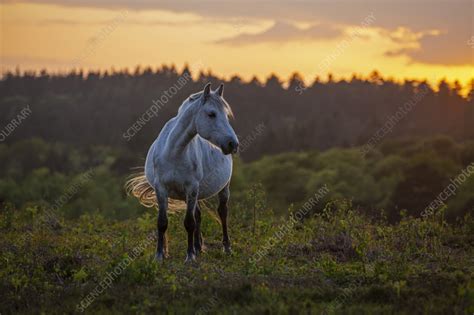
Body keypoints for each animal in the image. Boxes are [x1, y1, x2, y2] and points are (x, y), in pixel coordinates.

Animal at [127, 82, 239, 262]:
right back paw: (198, 247)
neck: (174, 152)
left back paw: (226, 248)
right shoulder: (161, 189)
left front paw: (190, 257)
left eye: (227, 116)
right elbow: (162, 222)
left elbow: (189, 223)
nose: (233, 144)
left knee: (222, 213)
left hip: (223, 188)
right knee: (198, 214)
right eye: (211, 114)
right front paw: (159, 256)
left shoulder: (191, 188)